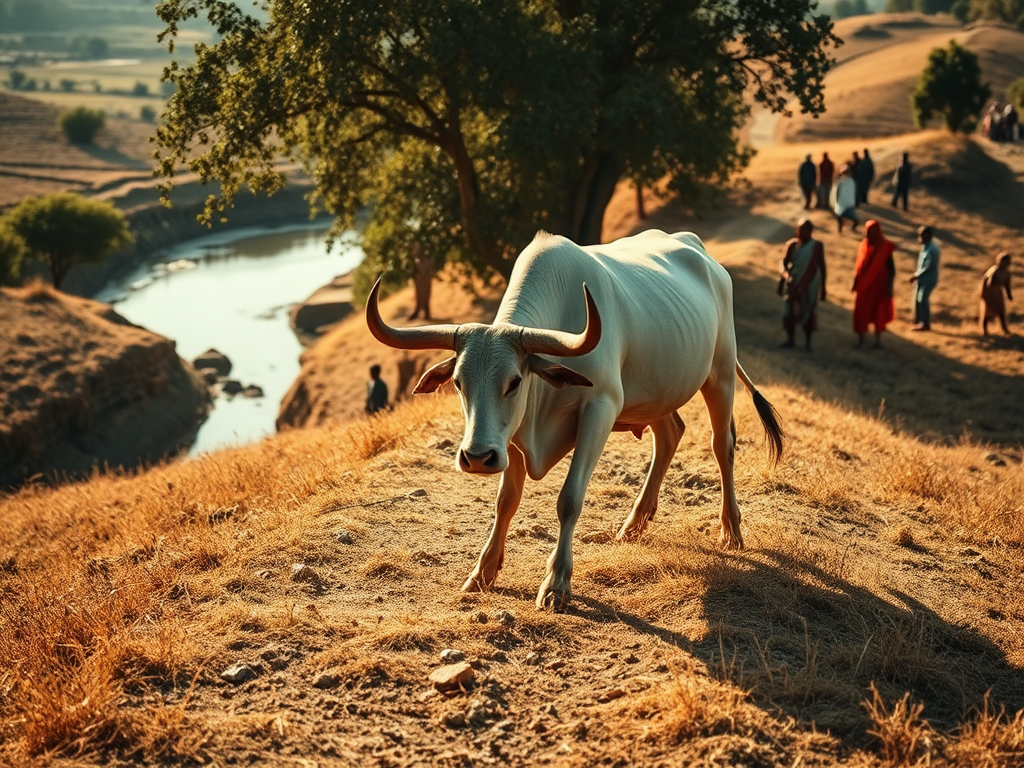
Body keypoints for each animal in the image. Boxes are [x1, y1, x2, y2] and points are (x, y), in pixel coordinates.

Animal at [365, 229, 783, 611]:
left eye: (514, 381)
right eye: (457, 382)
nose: (478, 457)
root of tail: (701, 252)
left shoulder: (601, 408)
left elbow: (569, 498)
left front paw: (556, 583)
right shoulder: (512, 436)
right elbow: (506, 501)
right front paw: (482, 572)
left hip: (721, 373)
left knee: (722, 444)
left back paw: (731, 530)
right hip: (658, 393)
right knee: (669, 434)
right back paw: (633, 525)